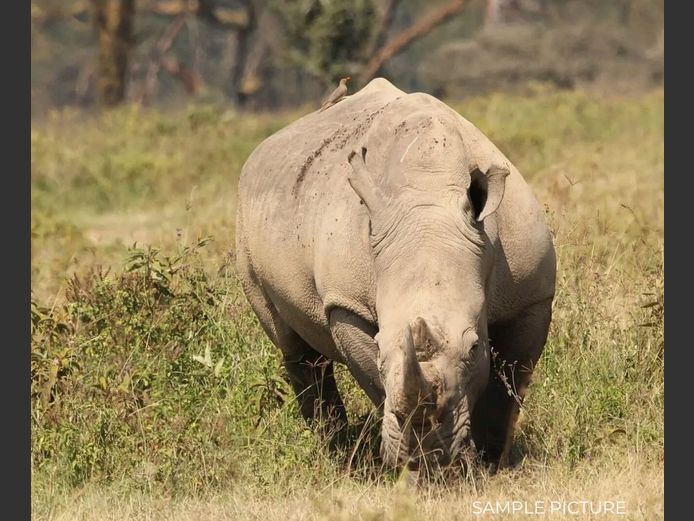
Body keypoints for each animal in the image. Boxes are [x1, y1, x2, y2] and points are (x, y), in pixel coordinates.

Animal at [235, 78, 556, 472]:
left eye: (474, 347)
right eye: (379, 347)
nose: (430, 456)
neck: (428, 198)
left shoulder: (531, 294)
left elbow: (508, 383)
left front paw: (490, 463)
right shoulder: (347, 303)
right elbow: (378, 382)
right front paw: (414, 466)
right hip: (246, 227)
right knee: (292, 345)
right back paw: (339, 459)